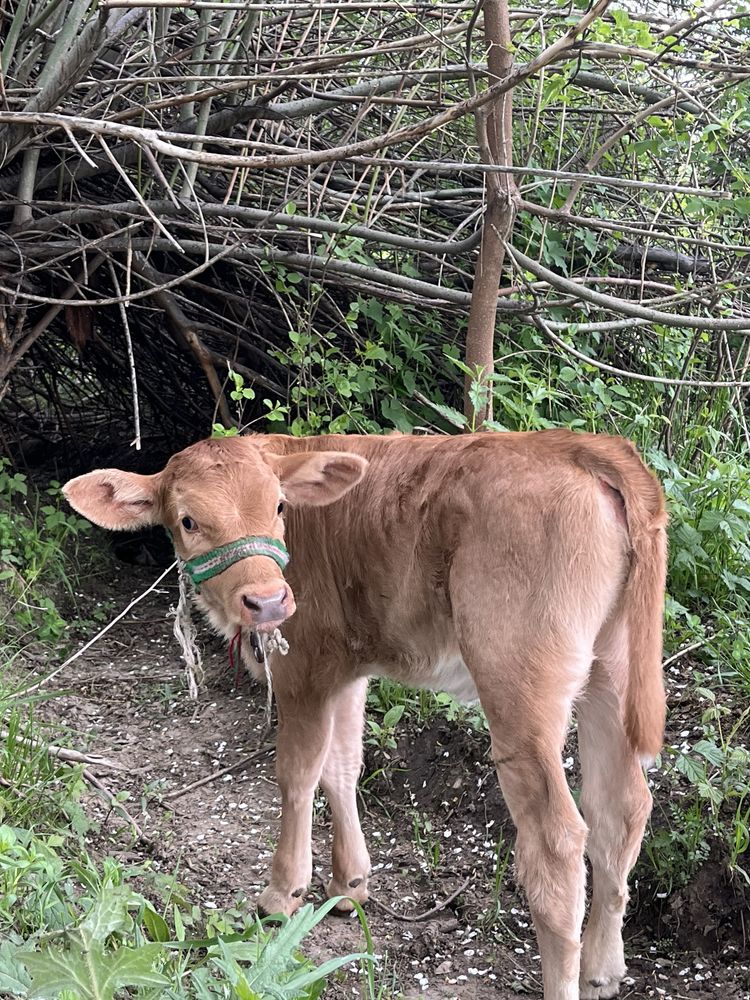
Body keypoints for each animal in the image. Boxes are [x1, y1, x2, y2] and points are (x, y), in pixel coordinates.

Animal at [61, 432, 668, 1000]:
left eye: (278, 506)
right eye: (188, 520)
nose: (268, 600)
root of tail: (579, 446)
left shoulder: (303, 665)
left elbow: (298, 772)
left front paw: (284, 894)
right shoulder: (347, 667)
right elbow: (342, 764)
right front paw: (348, 885)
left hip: (521, 683)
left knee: (559, 839)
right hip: (609, 670)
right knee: (622, 809)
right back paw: (601, 969)